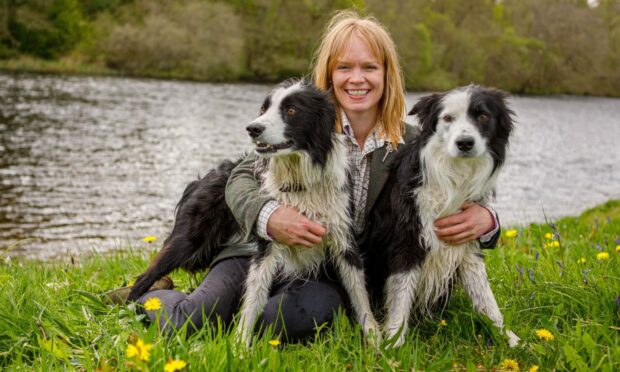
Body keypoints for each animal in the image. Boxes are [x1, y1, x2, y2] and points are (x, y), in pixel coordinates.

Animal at [370, 85, 520, 348]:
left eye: (483, 116)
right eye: (448, 118)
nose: (465, 143)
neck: (455, 173)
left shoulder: (468, 242)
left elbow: (486, 299)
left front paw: (508, 338)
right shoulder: (407, 240)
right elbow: (400, 295)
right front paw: (394, 342)